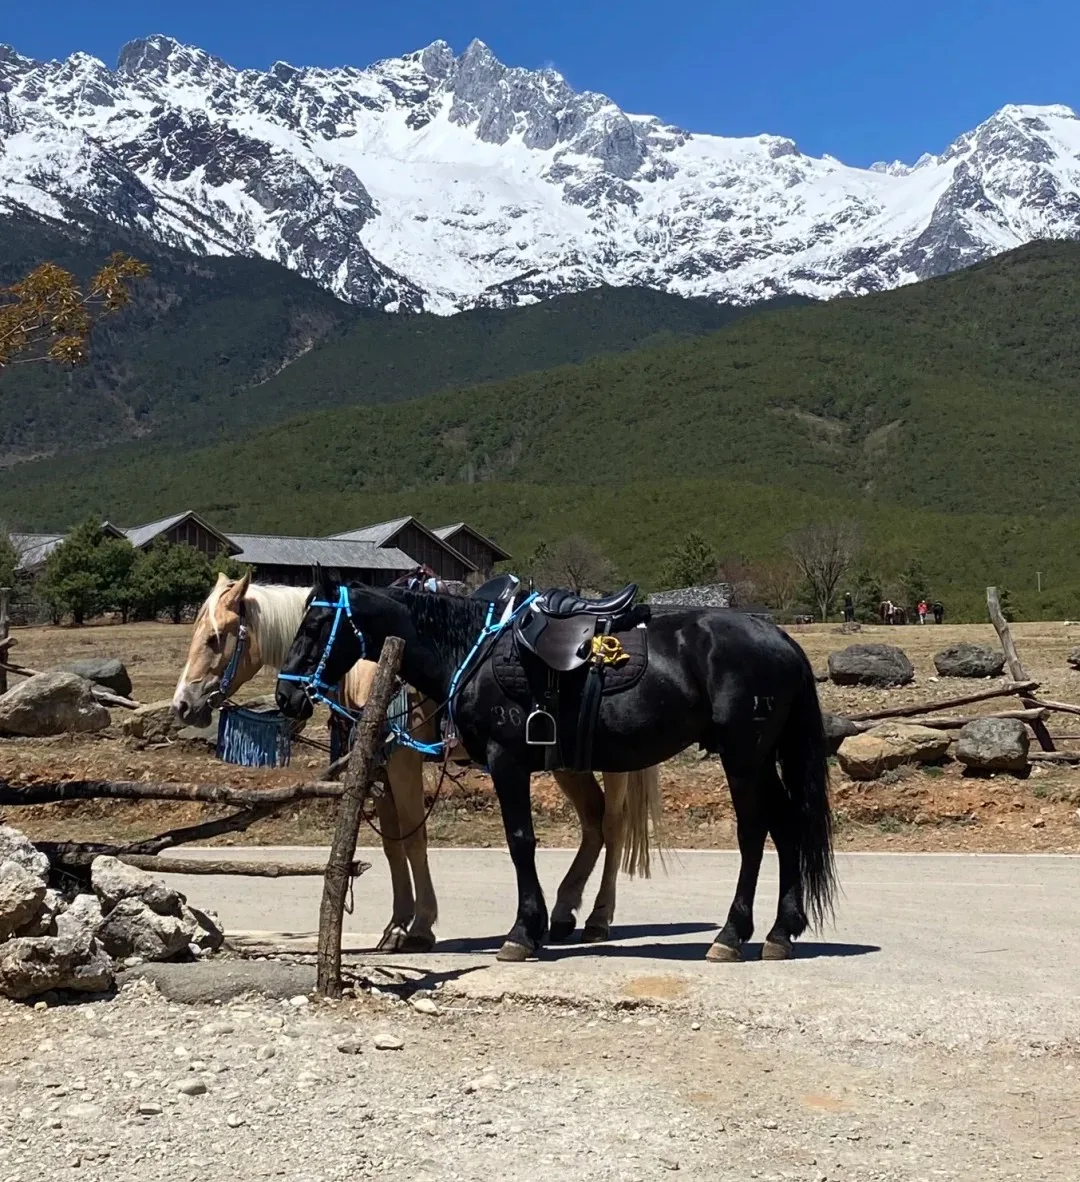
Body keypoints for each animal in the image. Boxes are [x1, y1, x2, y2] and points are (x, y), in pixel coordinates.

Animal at [173, 572, 663, 949]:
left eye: (215, 639)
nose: (183, 704)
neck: (371, 664)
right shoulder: (377, 763)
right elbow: (392, 844)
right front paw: (395, 925)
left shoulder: (403, 759)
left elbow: (413, 838)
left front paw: (421, 926)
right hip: (565, 762)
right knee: (594, 821)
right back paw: (563, 913)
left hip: (609, 763)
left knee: (614, 825)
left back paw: (598, 918)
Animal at [275, 570, 836, 964]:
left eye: (315, 623)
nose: (285, 696)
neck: (472, 651)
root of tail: (780, 638)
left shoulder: (504, 761)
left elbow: (518, 841)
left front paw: (522, 932)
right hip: (755, 760)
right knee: (785, 828)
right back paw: (780, 931)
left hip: (744, 758)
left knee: (753, 832)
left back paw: (730, 934)